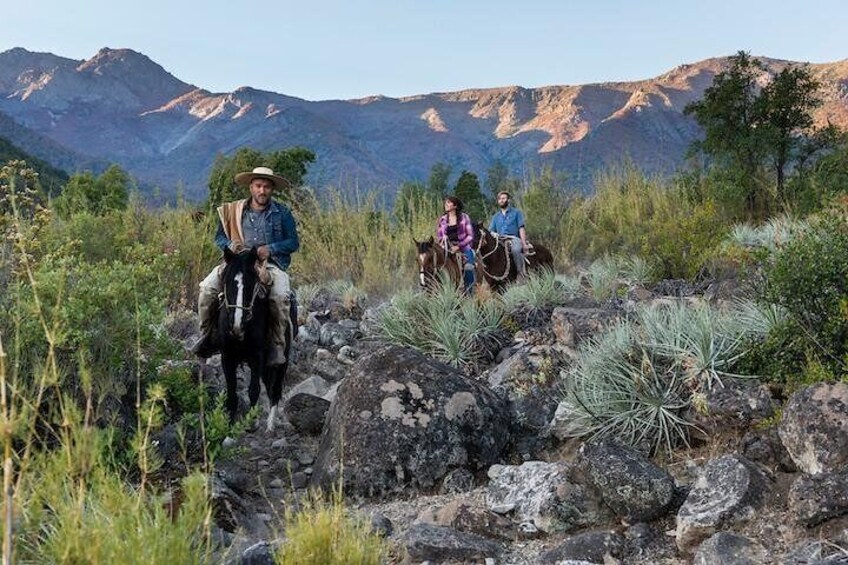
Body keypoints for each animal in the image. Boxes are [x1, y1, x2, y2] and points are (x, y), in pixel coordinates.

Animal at [217, 247, 296, 432]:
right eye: (227, 280)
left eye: (252, 283)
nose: (236, 324)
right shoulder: (227, 356)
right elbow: (231, 390)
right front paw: (229, 425)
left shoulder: (257, 357)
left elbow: (253, 390)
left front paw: (251, 423)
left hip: (280, 360)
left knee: (275, 390)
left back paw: (270, 426)